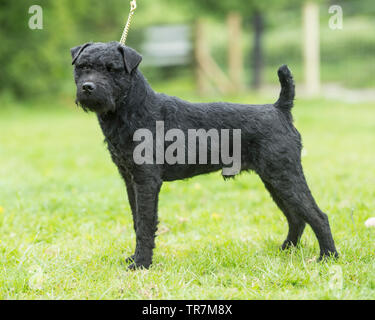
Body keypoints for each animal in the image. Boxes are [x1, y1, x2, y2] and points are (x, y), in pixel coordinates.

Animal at [71, 41, 340, 268]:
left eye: (111, 69)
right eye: (83, 66)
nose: (87, 87)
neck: (131, 109)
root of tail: (279, 108)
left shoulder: (146, 181)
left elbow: (146, 224)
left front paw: (141, 264)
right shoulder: (130, 180)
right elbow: (137, 221)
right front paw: (134, 258)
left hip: (284, 176)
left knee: (318, 216)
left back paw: (328, 257)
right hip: (274, 181)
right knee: (297, 218)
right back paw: (286, 249)